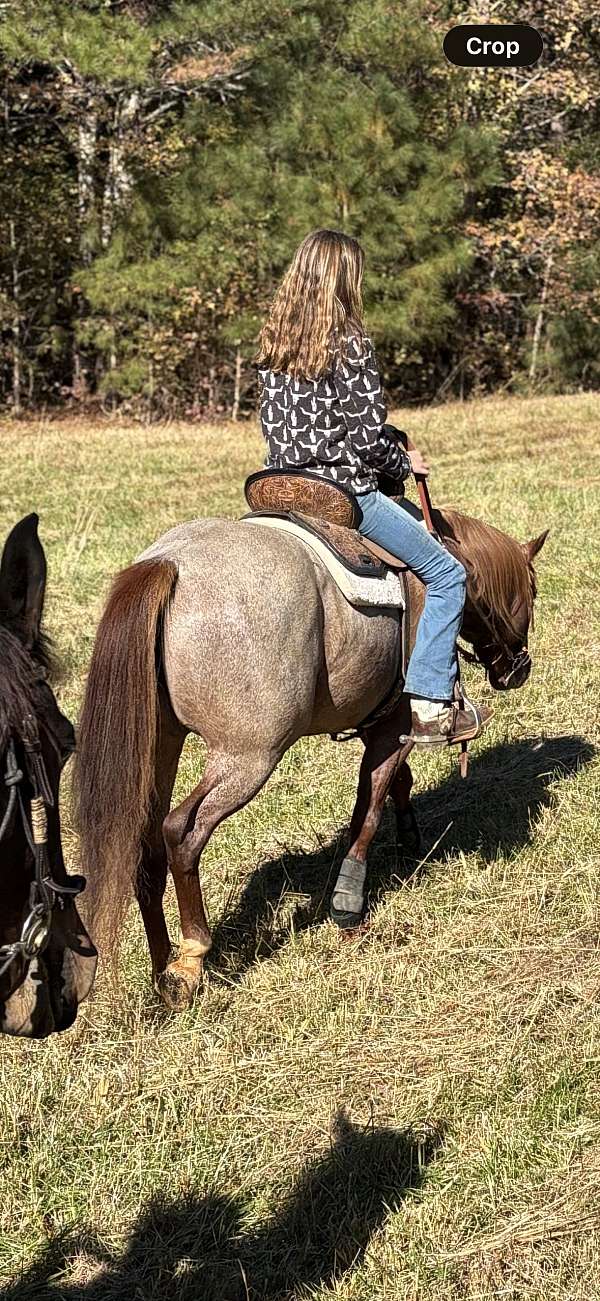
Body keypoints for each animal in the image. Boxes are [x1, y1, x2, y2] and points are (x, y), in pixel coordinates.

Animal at [75, 505, 547, 1010]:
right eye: (533, 589)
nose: (518, 669)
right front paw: (349, 902)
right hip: (247, 757)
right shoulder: (394, 728)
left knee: (145, 841)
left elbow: (396, 785)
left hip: (163, 744)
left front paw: (409, 837)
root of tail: (170, 563)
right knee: (181, 832)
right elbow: (369, 807)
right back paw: (190, 961)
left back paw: (162, 965)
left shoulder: (381, 721)